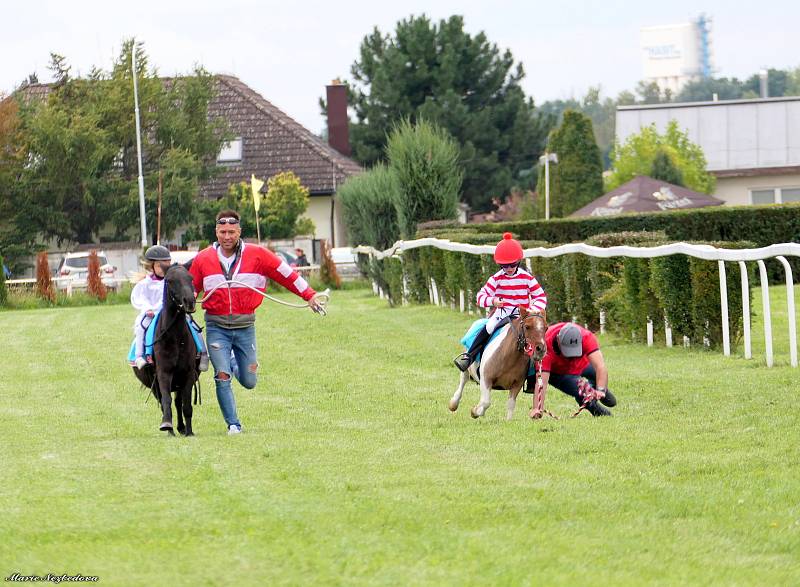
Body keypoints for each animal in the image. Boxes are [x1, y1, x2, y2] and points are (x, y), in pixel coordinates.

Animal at [132, 266, 199, 436]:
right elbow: (166, 400)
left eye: (190, 277)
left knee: (178, 402)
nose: (189, 301)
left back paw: (181, 428)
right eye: (170, 280)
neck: (175, 337)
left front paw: (189, 431)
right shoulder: (163, 373)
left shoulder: (188, 374)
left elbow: (186, 404)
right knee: (164, 401)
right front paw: (167, 426)